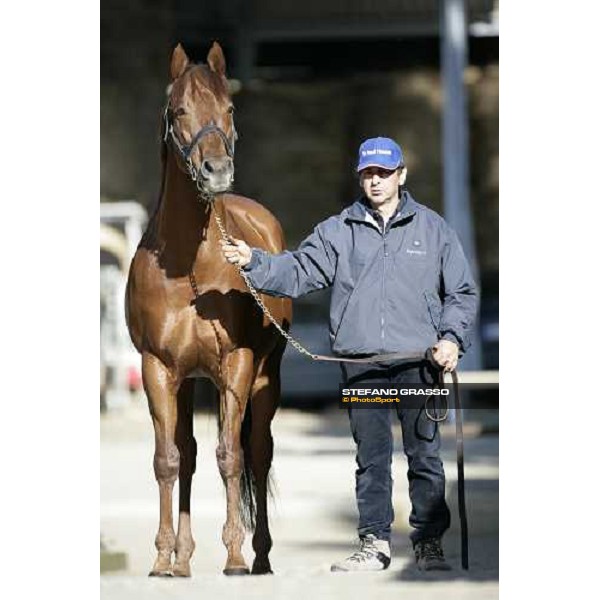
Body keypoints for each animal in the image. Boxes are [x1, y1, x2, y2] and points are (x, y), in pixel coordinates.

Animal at [126, 42, 292, 576]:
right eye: (179, 111)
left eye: (230, 108)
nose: (216, 171)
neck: (188, 267)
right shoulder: (158, 369)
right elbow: (169, 460)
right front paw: (163, 559)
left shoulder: (236, 365)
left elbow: (231, 457)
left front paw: (235, 556)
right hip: (188, 383)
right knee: (190, 454)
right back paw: (182, 559)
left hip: (264, 378)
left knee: (257, 453)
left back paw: (260, 557)